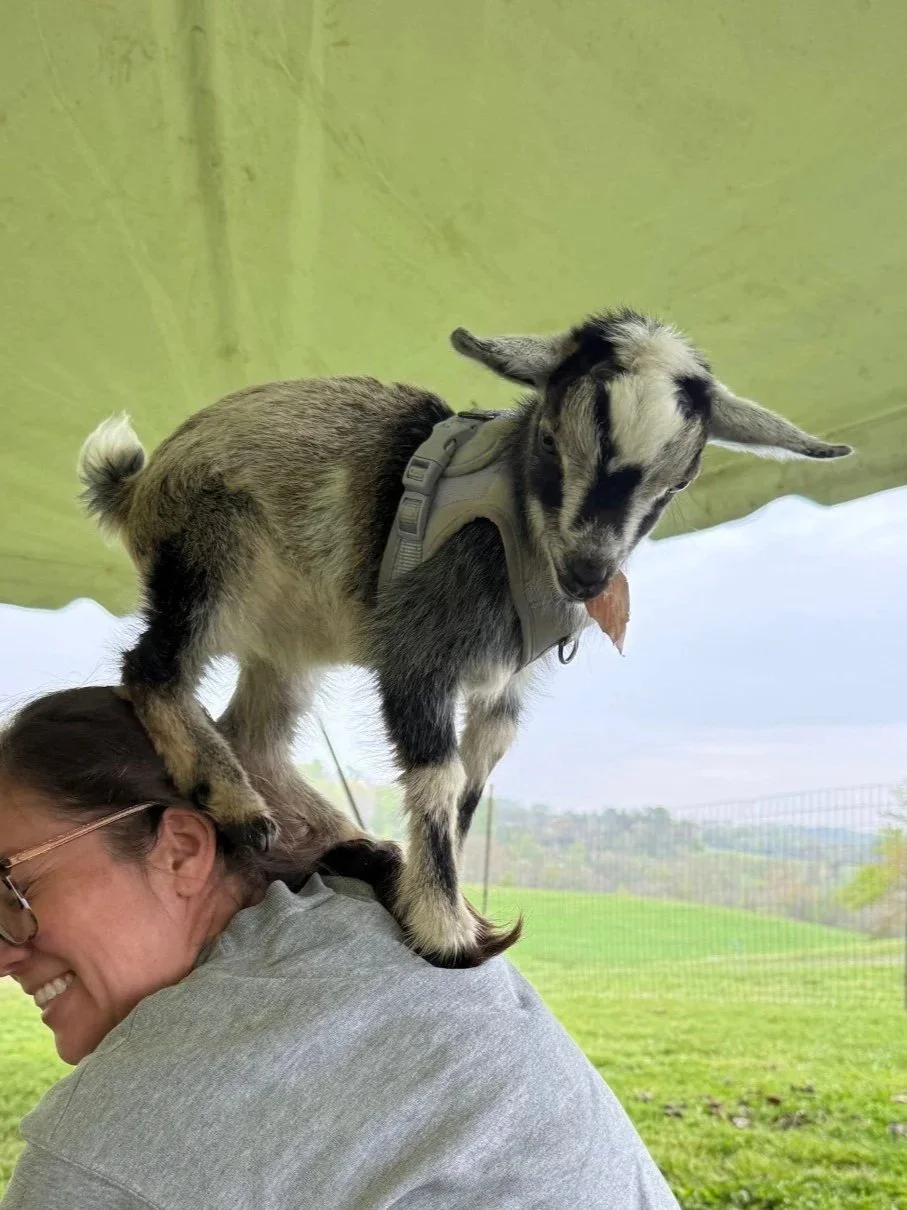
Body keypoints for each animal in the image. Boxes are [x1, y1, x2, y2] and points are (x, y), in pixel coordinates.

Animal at [78, 309, 851, 966]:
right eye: (550, 442)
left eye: (678, 480)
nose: (588, 573)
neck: (521, 528)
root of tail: (136, 488)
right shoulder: (418, 649)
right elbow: (440, 775)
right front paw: (446, 931)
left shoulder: (503, 682)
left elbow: (479, 772)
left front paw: (445, 904)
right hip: (214, 553)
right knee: (150, 667)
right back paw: (234, 802)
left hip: (285, 639)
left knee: (254, 729)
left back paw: (337, 836)